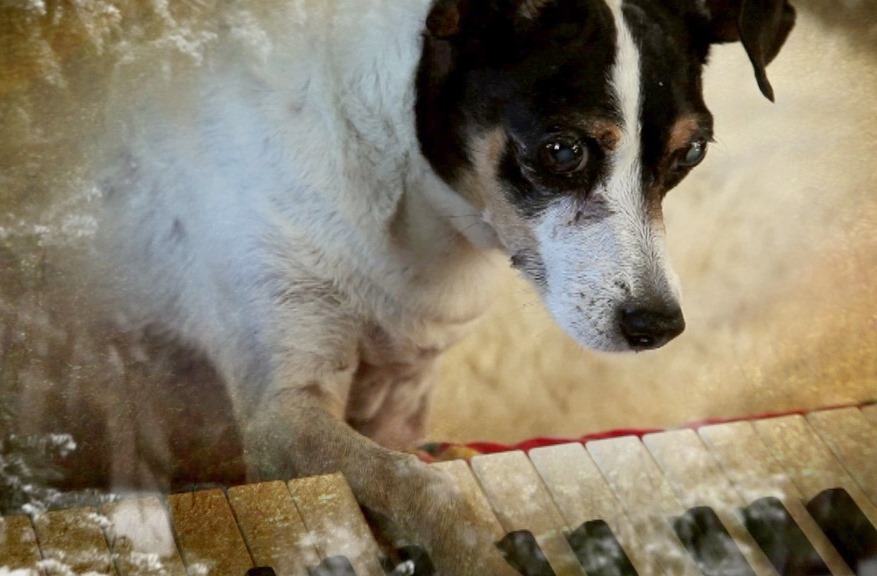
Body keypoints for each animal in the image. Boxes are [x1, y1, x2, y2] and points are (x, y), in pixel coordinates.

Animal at [3, 0, 792, 572]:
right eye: (562, 149)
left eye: (691, 153)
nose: (657, 328)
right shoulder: (283, 413)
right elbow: (424, 486)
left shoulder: (403, 399)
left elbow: (421, 463)